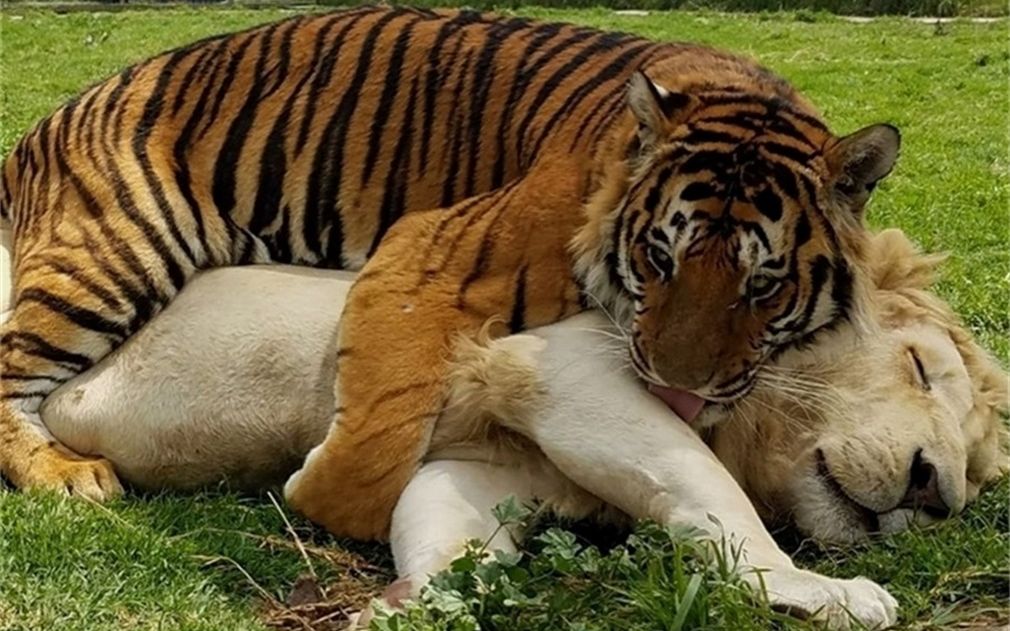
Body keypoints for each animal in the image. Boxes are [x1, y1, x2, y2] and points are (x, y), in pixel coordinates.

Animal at [0, 7, 900, 537]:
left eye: (763, 285)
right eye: (659, 257)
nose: (678, 388)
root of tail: (48, 121)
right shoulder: (429, 256)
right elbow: (381, 429)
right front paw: (320, 495)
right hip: (116, 248)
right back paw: (69, 476)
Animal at [5, 229, 1001, 625]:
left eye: (975, 477)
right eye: (921, 367)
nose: (934, 491)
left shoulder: (483, 464)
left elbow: (454, 537)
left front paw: (405, 605)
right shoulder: (565, 363)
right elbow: (713, 494)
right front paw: (827, 590)